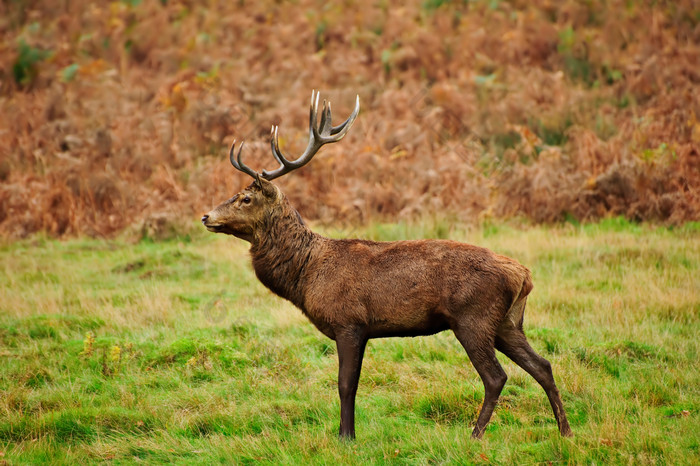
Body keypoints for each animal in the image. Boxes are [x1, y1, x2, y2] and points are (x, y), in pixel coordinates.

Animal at [202, 91, 576, 440]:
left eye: (245, 198)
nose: (206, 216)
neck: (306, 276)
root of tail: (524, 275)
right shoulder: (363, 329)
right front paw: (349, 433)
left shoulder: (349, 321)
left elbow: (345, 384)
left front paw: (345, 437)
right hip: (509, 322)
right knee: (543, 365)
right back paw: (565, 430)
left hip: (473, 318)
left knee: (496, 376)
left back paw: (475, 434)